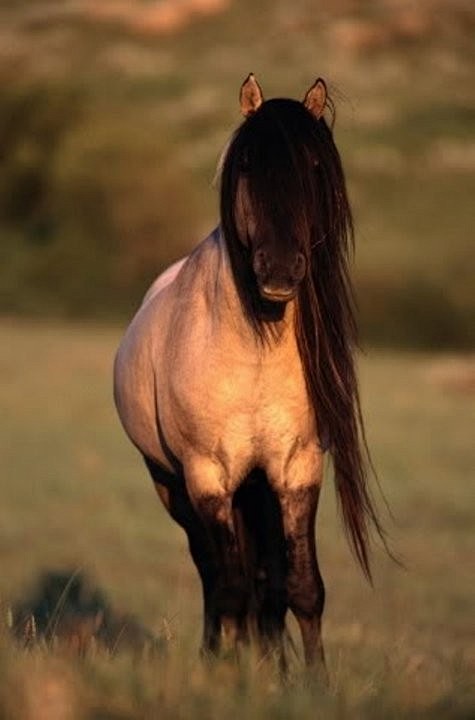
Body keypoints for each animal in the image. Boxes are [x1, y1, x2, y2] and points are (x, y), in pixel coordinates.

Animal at [113, 76, 384, 672]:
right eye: (245, 166)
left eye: (313, 166)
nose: (279, 270)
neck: (254, 353)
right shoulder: (207, 478)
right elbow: (230, 588)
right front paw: (225, 676)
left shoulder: (297, 470)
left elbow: (301, 588)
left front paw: (308, 681)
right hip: (175, 488)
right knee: (216, 577)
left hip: (257, 487)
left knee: (264, 582)